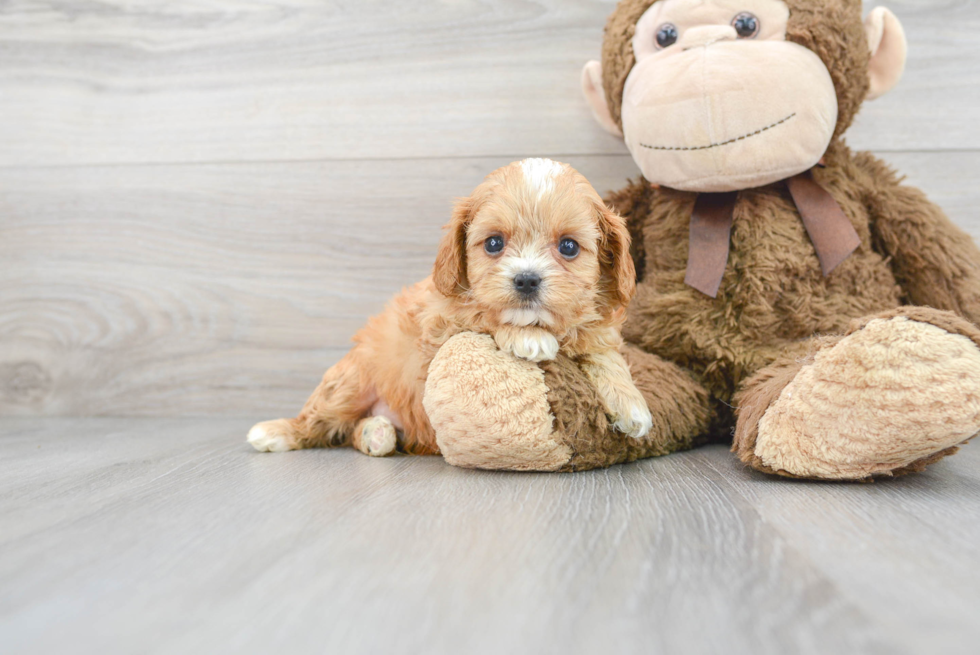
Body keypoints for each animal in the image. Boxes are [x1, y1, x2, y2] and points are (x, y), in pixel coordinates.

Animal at [249, 158, 656, 456]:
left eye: (569, 247)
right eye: (493, 243)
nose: (526, 280)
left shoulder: (597, 329)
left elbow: (607, 356)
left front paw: (632, 405)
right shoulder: (438, 323)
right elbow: (481, 314)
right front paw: (528, 338)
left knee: (353, 431)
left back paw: (376, 434)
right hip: (349, 382)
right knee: (318, 419)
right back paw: (274, 432)